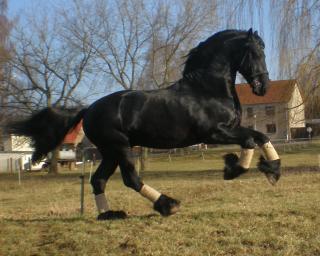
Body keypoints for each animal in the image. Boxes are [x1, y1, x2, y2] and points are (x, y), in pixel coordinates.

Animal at [9, 28, 280, 220]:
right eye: (255, 53)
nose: (263, 87)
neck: (206, 89)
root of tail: (89, 109)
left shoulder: (228, 131)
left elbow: (261, 137)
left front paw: (273, 170)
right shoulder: (213, 134)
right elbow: (249, 140)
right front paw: (233, 169)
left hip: (110, 152)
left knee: (98, 180)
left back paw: (110, 215)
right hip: (119, 147)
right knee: (131, 179)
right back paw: (167, 205)